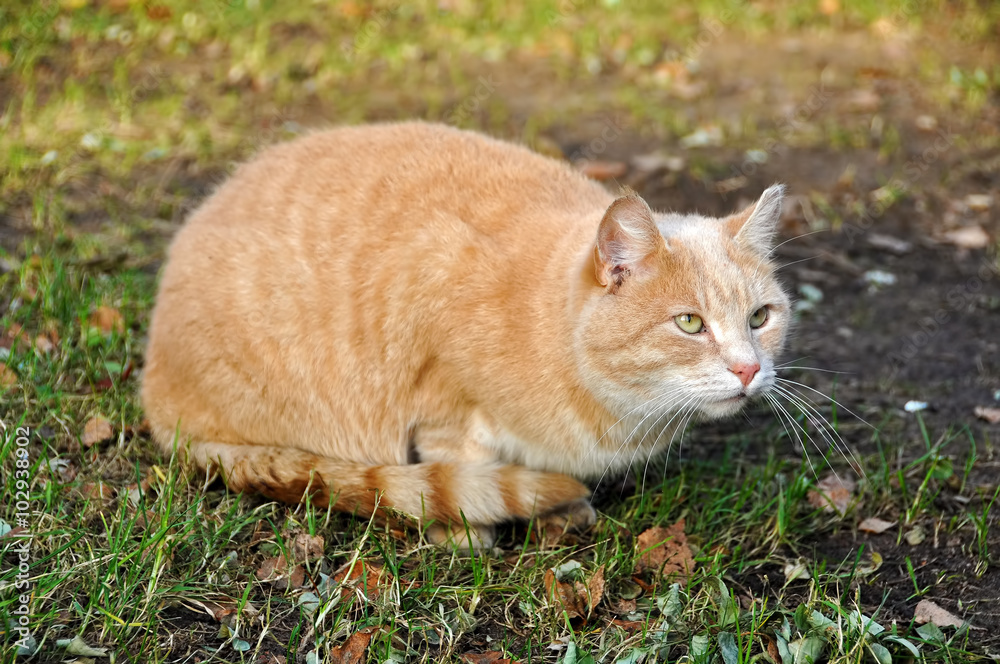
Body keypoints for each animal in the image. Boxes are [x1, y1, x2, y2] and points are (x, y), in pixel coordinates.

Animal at [145, 122, 792, 548]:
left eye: (760, 318)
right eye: (690, 323)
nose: (748, 369)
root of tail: (155, 391)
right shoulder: (438, 377)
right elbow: (457, 465)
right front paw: (469, 534)